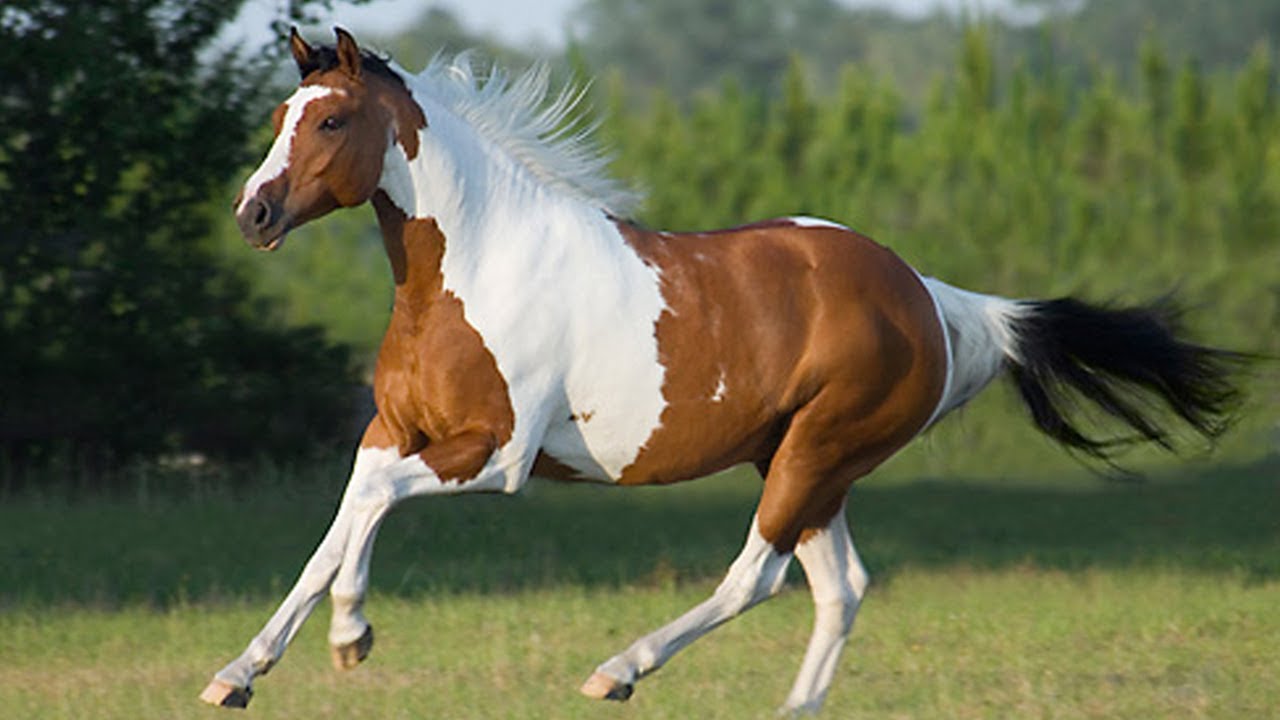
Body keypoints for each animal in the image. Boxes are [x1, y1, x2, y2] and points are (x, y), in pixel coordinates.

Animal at [199, 28, 1239, 712]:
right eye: (282, 114)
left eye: (333, 120)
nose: (254, 214)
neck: (478, 267)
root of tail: (941, 304)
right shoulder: (398, 431)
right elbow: (346, 515)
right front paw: (240, 673)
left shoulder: (497, 456)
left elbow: (372, 504)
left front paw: (351, 640)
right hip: (805, 465)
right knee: (840, 589)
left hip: (814, 455)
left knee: (758, 578)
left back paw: (618, 671)